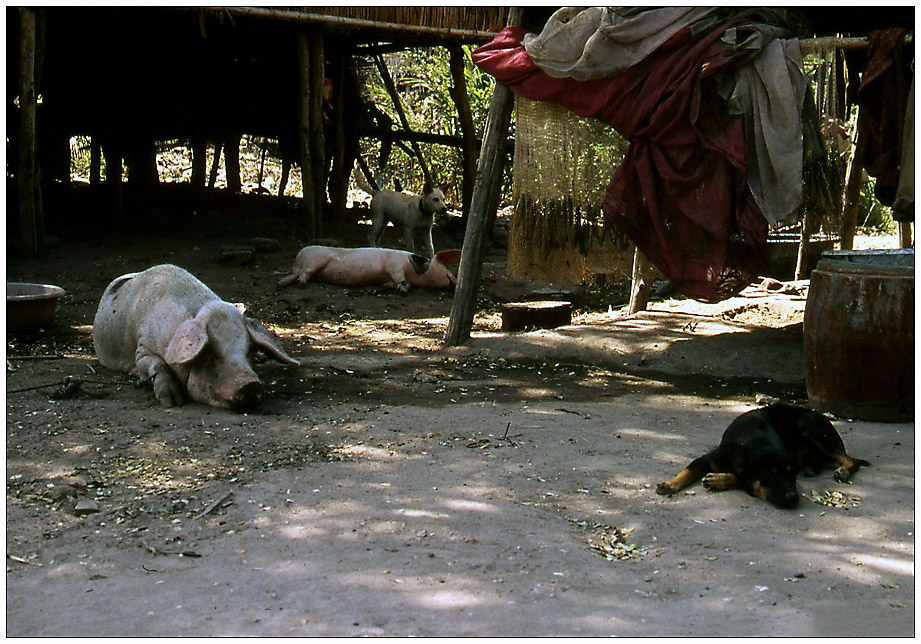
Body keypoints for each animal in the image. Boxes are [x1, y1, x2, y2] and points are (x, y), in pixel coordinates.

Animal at [92, 264, 298, 410]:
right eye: (209, 353)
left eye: (249, 351)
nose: (250, 384)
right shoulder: (142, 347)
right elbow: (156, 364)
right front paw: (171, 403)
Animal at [274, 247, 458, 294]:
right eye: (445, 266)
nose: (456, 280)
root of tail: (297, 259)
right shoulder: (395, 265)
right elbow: (400, 278)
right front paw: (404, 289)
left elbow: (390, 282)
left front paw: (387, 287)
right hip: (314, 262)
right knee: (304, 274)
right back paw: (302, 284)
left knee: (292, 277)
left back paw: (280, 284)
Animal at [656, 402, 868, 508]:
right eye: (769, 476)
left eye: (791, 475)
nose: (793, 498)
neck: (757, 442)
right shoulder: (706, 459)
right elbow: (688, 471)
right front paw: (671, 484)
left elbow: (743, 479)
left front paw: (718, 480)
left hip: (810, 426)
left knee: (851, 460)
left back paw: (844, 471)